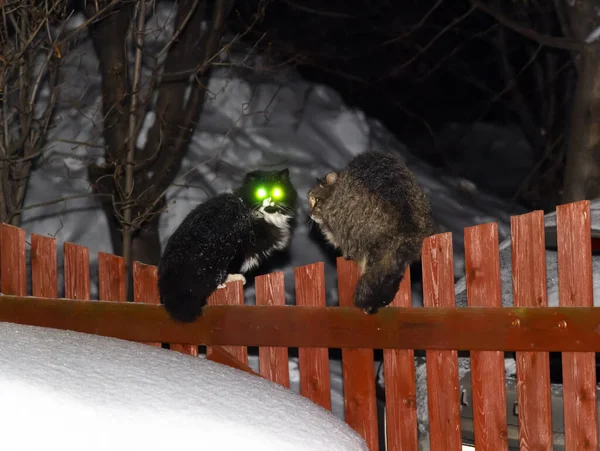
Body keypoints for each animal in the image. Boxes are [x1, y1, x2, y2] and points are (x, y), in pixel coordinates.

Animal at [158, 169, 296, 322]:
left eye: (277, 191)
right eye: (260, 192)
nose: (270, 199)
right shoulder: (238, 245)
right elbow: (228, 268)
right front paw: (231, 278)